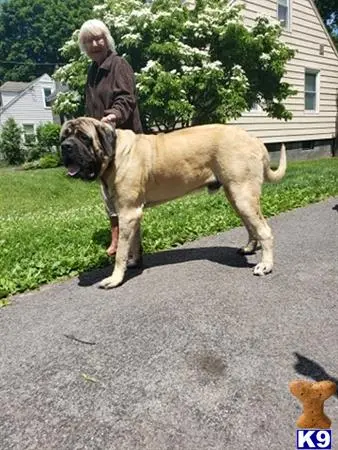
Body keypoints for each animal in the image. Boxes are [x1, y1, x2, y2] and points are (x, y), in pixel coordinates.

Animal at [59, 118, 286, 290]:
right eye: (63, 136)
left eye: (84, 137)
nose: (65, 147)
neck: (114, 154)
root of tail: (255, 140)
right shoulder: (133, 214)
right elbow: (133, 243)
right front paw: (134, 262)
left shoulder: (127, 213)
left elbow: (121, 252)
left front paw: (115, 278)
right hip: (236, 196)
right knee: (251, 226)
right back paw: (249, 248)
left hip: (242, 195)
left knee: (264, 231)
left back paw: (265, 265)